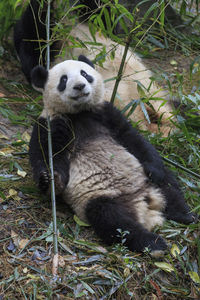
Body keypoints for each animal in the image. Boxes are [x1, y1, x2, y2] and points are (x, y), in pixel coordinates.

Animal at [28, 55, 195, 255]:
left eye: (85, 74)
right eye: (64, 80)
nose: (80, 86)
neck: (79, 113)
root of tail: (145, 204)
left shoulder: (106, 112)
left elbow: (133, 138)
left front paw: (153, 169)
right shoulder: (51, 122)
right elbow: (46, 154)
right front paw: (49, 180)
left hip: (146, 181)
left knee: (169, 186)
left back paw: (185, 215)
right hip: (98, 199)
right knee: (114, 221)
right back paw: (153, 243)